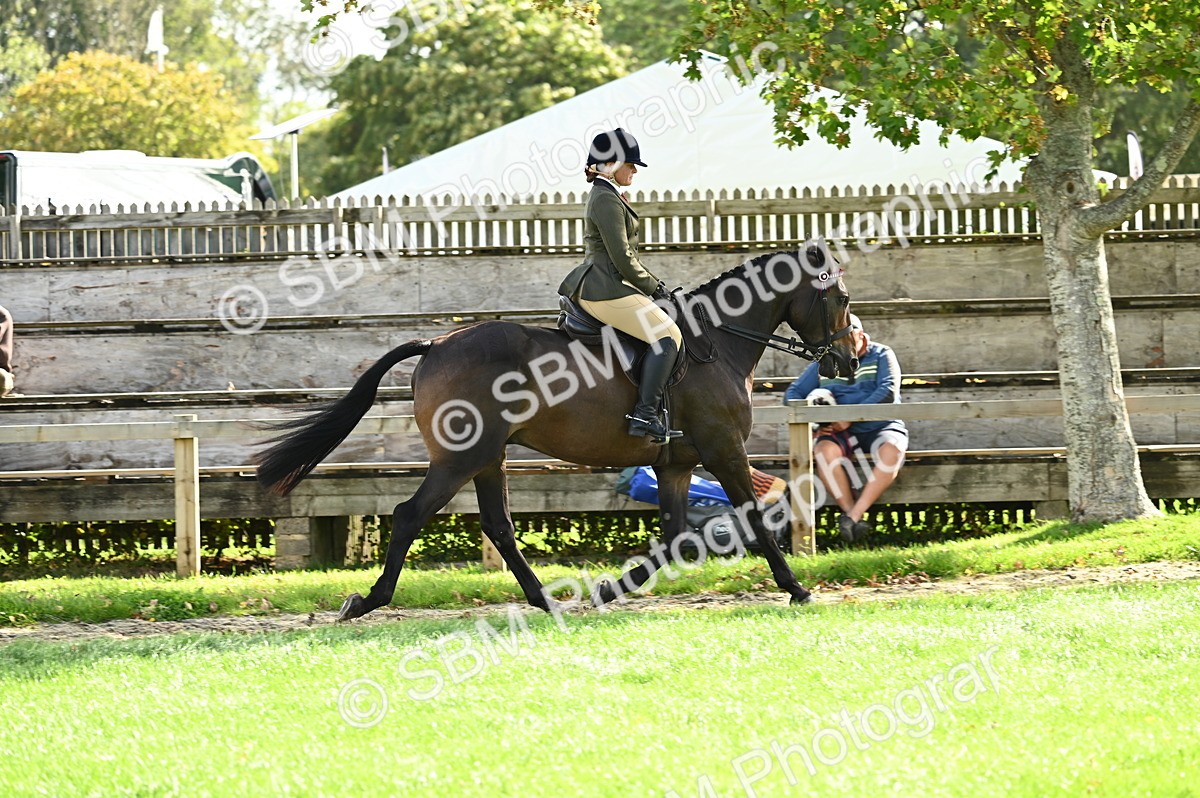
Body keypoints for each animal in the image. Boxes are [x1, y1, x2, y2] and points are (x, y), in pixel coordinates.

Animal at [254, 242, 856, 620]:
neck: (720, 342)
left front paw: (611, 588)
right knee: (409, 515)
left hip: (488, 458)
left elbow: (673, 536)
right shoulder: (724, 450)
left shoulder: (678, 463)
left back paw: (545, 600)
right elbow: (754, 518)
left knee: (498, 526)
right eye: (842, 298)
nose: (850, 360)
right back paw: (367, 601)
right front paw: (797, 589)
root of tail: (436, 344)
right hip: (459, 459)